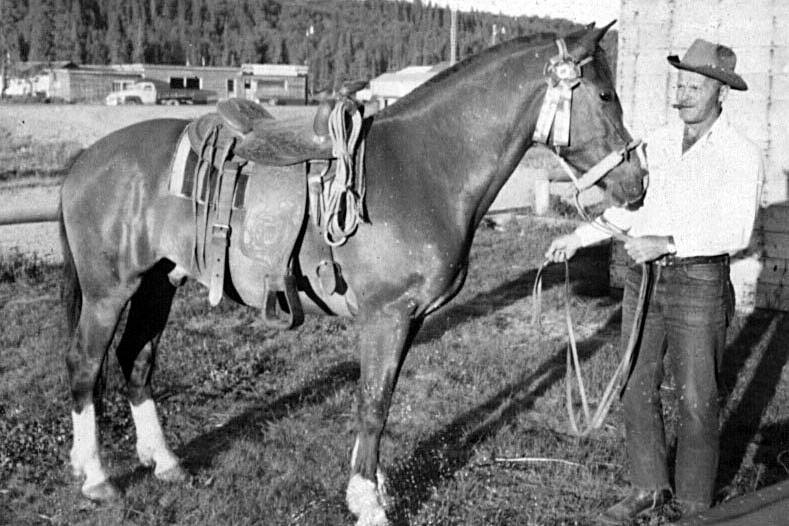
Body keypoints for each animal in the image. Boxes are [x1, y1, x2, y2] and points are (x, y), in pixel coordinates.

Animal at [58, 20, 644, 526]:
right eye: (605, 96)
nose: (638, 182)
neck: (424, 167)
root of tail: (86, 160)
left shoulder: (408, 320)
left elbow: (380, 400)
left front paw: (376, 486)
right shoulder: (386, 316)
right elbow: (374, 403)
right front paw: (368, 502)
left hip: (158, 282)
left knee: (136, 361)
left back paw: (164, 461)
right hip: (109, 291)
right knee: (86, 365)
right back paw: (95, 476)